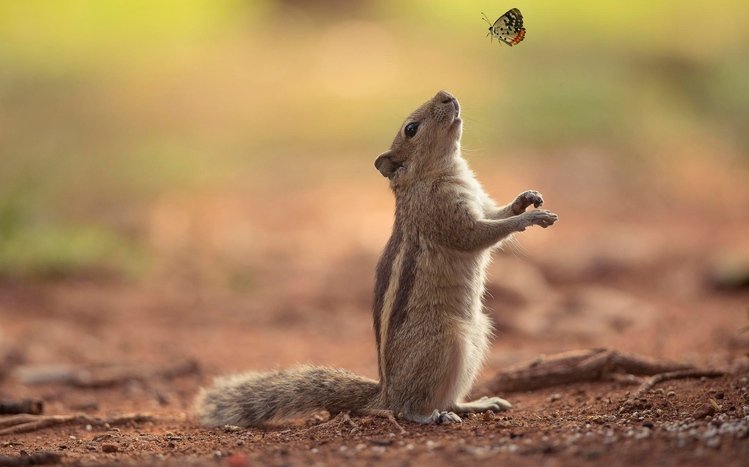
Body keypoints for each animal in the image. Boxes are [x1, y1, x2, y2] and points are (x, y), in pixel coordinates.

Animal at [194, 90, 558, 426]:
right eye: (411, 129)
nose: (446, 94)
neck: (435, 173)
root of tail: (385, 391)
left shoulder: (480, 202)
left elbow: (497, 213)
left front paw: (526, 199)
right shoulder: (443, 214)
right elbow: (478, 235)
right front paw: (531, 218)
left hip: (478, 334)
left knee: (448, 397)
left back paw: (476, 404)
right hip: (446, 341)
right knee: (408, 408)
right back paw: (432, 416)